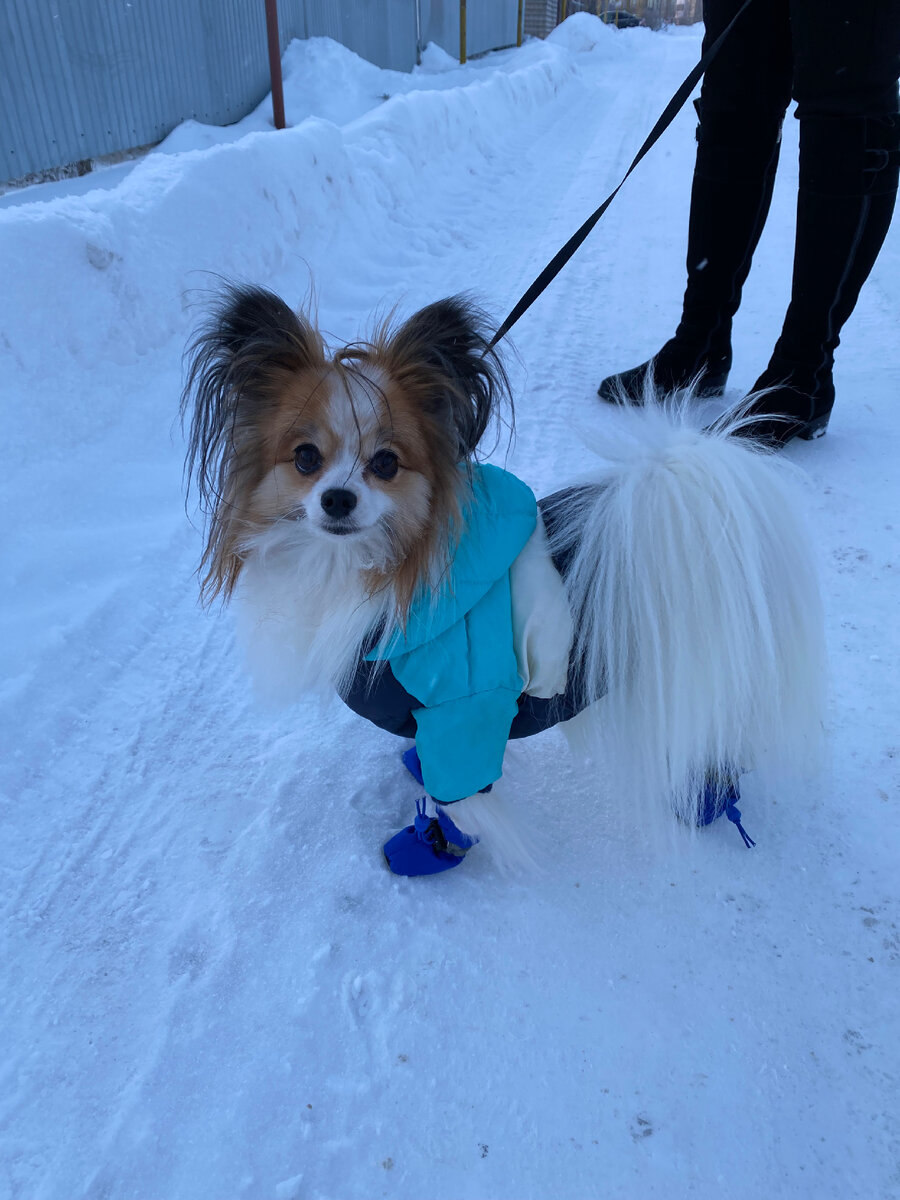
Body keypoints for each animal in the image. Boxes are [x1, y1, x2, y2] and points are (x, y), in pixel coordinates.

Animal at [184, 285, 830, 878]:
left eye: (386, 463)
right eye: (305, 458)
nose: (337, 499)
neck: (377, 570)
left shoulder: (465, 711)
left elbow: (460, 798)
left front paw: (436, 844)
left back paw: (708, 802)